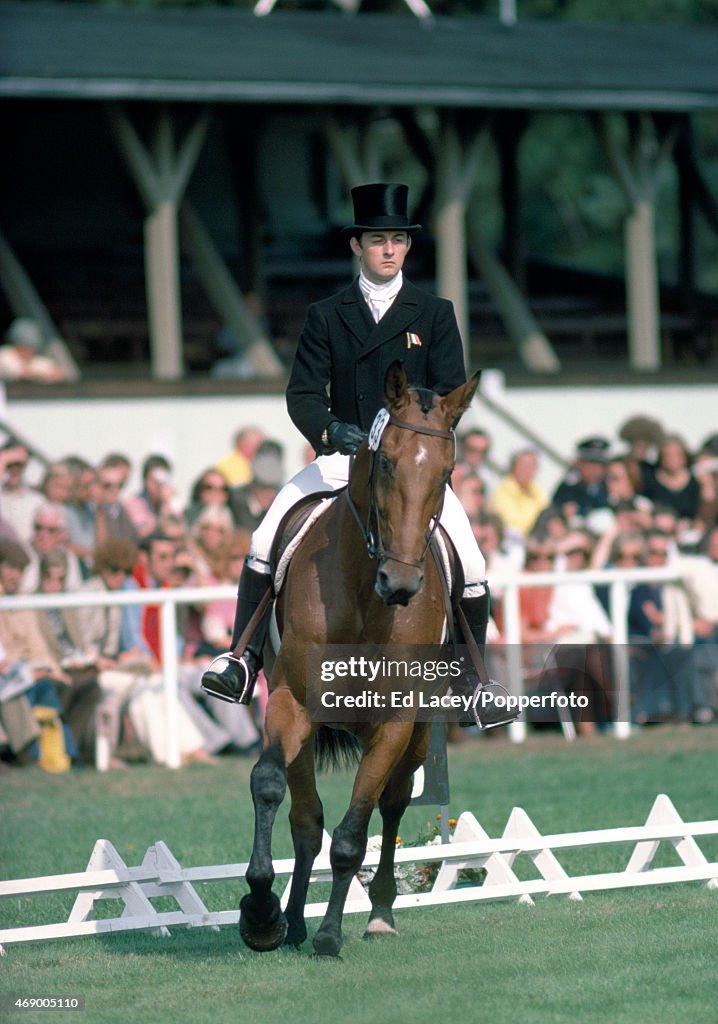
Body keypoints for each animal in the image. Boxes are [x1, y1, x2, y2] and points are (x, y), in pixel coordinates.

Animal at [237, 362, 479, 958]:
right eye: (386, 460)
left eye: (447, 471)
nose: (402, 584)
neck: (367, 597)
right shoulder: (291, 701)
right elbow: (271, 786)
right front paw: (262, 914)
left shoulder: (394, 723)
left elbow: (352, 834)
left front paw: (330, 934)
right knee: (305, 819)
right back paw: (293, 920)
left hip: (419, 733)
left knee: (391, 806)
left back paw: (379, 915)